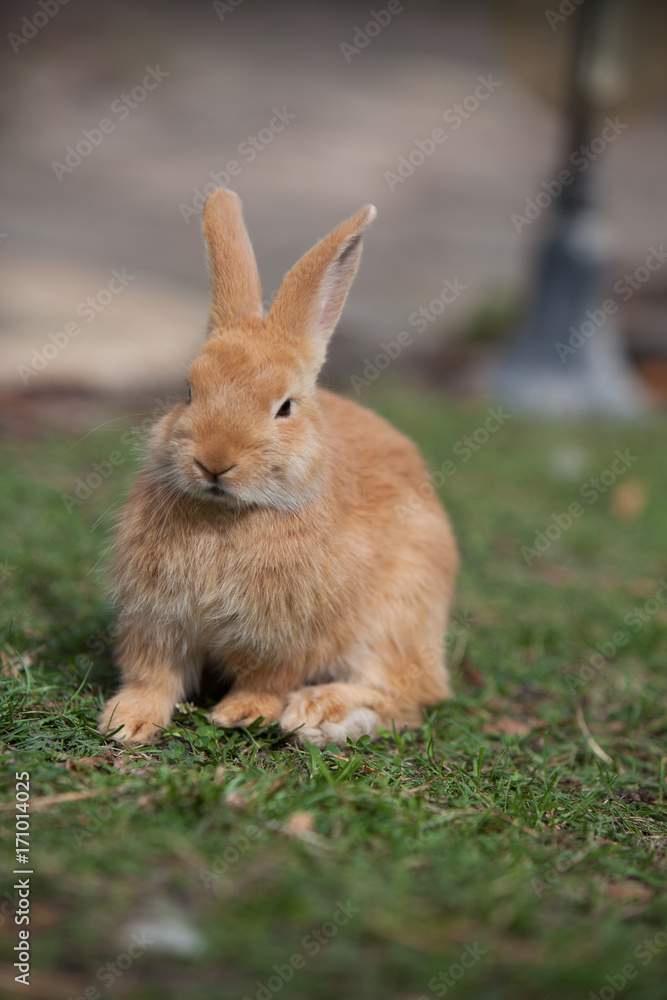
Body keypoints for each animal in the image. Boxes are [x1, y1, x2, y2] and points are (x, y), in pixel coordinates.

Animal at [98, 189, 459, 748]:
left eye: (284, 407)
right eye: (188, 390)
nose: (215, 461)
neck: (228, 516)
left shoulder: (287, 638)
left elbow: (267, 679)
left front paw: (242, 714)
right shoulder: (159, 621)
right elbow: (154, 674)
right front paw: (127, 721)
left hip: (398, 613)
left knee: (409, 696)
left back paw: (320, 713)